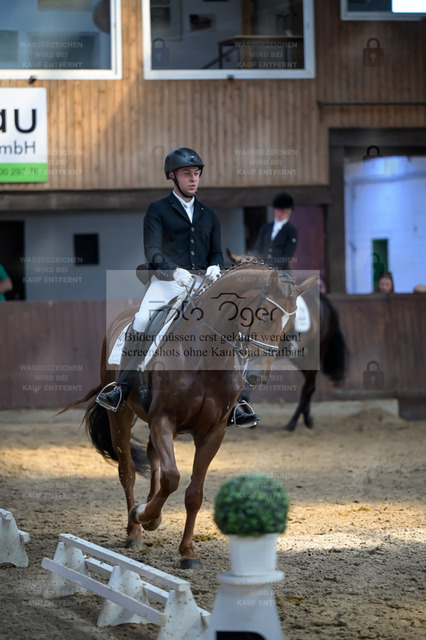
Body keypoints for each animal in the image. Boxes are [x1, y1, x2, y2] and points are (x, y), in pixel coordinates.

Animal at [63, 262, 317, 569]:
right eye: (265, 316)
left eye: (290, 327)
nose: (258, 376)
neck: (205, 355)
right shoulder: (164, 420)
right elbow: (173, 477)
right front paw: (142, 515)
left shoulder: (213, 432)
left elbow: (194, 493)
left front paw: (187, 552)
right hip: (120, 415)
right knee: (128, 472)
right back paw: (135, 529)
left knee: (153, 458)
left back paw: (152, 517)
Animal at [226, 251, 347, 432]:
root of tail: (324, 301)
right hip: (300, 357)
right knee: (310, 384)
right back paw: (307, 418)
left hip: (315, 352)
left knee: (309, 386)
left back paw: (292, 423)